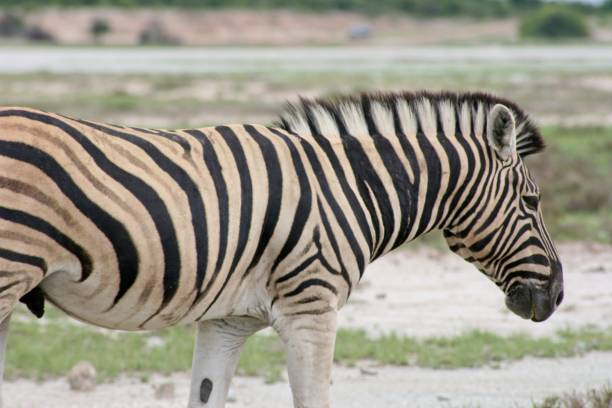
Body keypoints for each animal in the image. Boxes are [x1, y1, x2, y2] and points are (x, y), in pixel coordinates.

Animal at [0, 92, 564, 408]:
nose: (557, 295)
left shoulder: (226, 320)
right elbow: (313, 401)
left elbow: (206, 396)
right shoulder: (311, 308)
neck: (353, 187)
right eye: (532, 202)